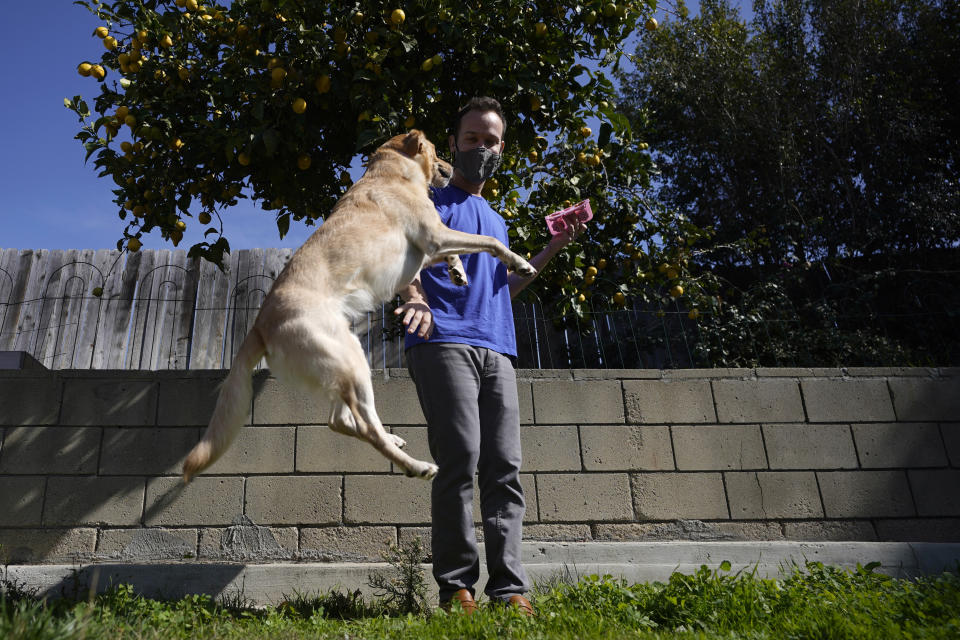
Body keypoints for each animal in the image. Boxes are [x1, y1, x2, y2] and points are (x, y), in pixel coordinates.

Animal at [184, 130, 536, 480]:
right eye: (436, 151)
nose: (451, 170)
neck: (391, 172)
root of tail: (259, 326)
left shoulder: (428, 248)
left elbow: (455, 254)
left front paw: (457, 270)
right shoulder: (434, 235)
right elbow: (490, 241)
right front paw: (520, 263)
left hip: (340, 366)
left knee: (340, 421)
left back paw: (394, 441)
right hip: (351, 361)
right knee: (365, 425)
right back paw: (415, 466)